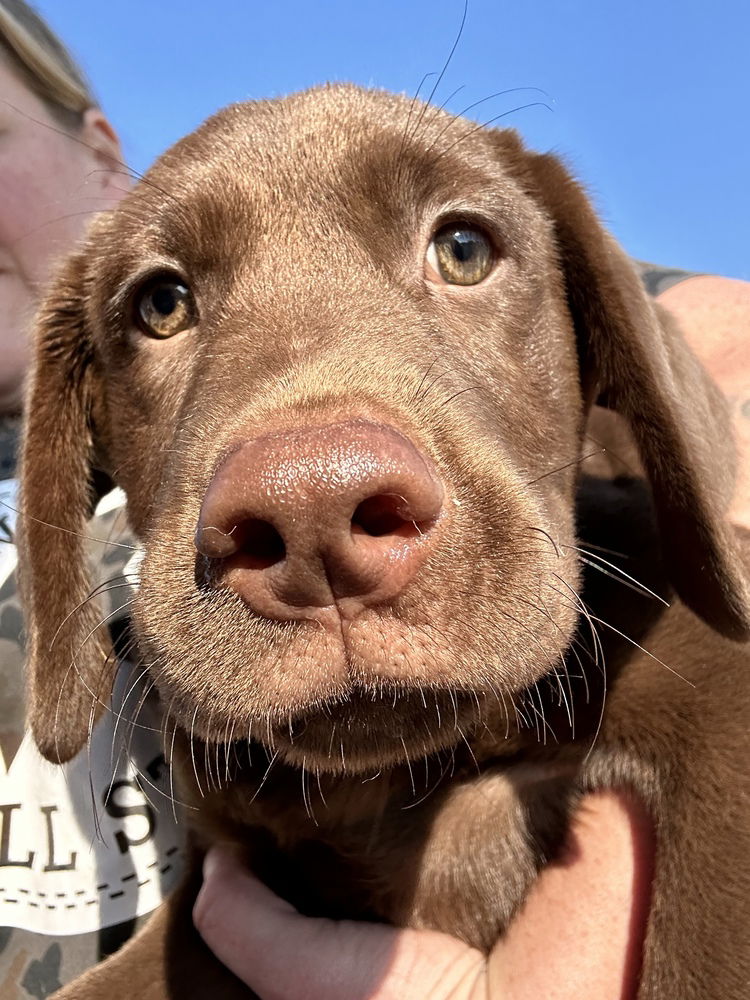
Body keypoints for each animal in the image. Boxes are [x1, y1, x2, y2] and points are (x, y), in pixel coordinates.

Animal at [16, 88, 750, 1000]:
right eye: (161, 304)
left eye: (464, 248)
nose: (313, 510)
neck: (412, 781)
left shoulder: (718, 695)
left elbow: (706, 942)